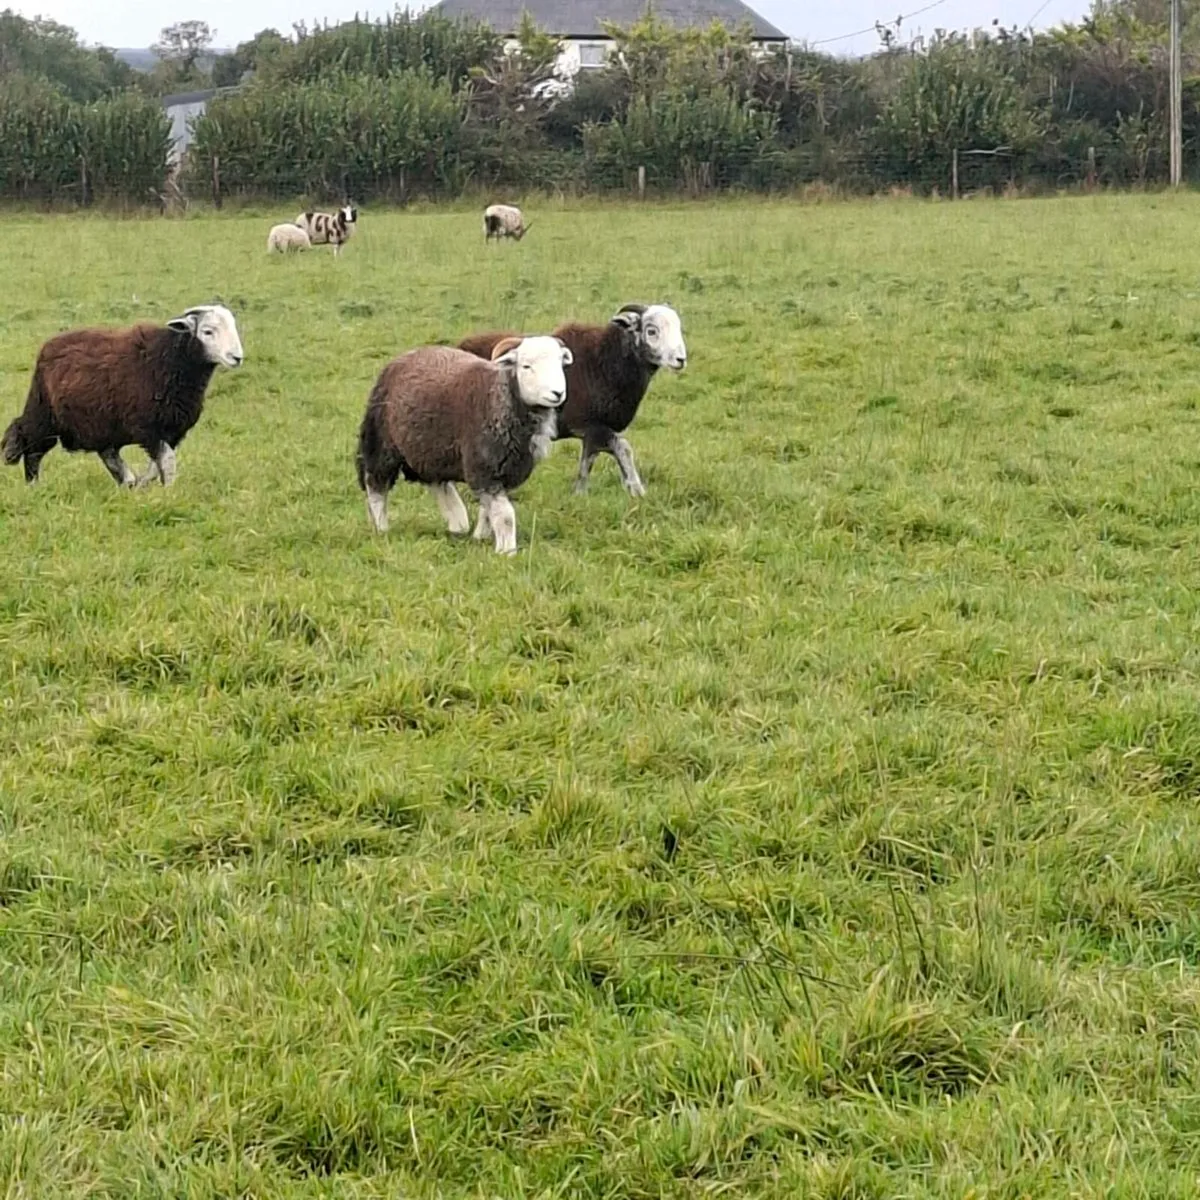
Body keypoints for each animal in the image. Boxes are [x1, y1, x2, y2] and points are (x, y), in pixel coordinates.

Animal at [2, 305, 244, 488]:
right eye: (208, 331)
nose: (237, 357)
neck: (171, 361)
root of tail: (49, 345)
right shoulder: (148, 428)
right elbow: (167, 463)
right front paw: (169, 492)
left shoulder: (172, 432)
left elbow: (156, 467)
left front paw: (144, 484)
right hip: (44, 413)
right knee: (30, 445)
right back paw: (33, 485)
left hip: (100, 423)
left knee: (107, 453)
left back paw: (127, 481)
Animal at [355, 334, 573, 555]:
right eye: (526, 366)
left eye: (560, 363)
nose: (557, 393)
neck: (499, 399)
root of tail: (405, 356)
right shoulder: (484, 468)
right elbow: (505, 515)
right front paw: (507, 552)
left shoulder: (501, 472)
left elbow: (487, 511)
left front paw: (481, 537)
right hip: (381, 444)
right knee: (376, 487)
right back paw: (382, 529)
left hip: (430, 449)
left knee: (437, 483)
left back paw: (458, 524)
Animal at [457, 303, 687, 497]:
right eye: (651, 330)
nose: (681, 360)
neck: (604, 362)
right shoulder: (592, 426)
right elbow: (622, 448)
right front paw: (637, 490)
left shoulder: (592, 434)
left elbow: (588, 461)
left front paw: (581, 494)